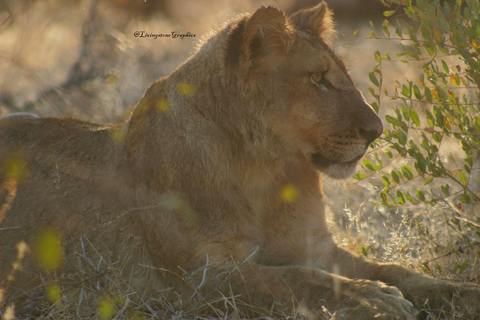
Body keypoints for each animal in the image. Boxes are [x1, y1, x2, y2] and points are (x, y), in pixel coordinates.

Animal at [0, 1, 480, 318]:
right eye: (318, 79)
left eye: (341, 75)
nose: (376, 131)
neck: (266, 170)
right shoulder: (199, 277)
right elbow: (293, 280)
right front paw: (371, 298)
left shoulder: (316, 247)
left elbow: (397, 269)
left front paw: (459, 291)